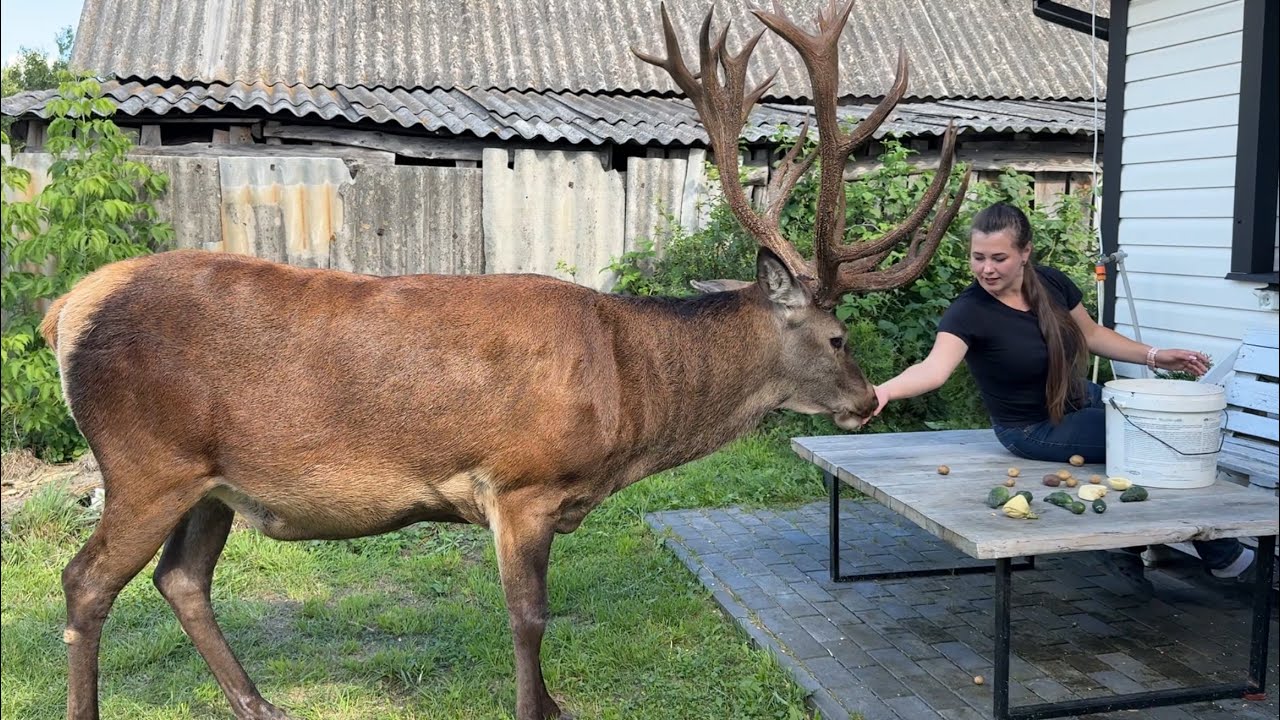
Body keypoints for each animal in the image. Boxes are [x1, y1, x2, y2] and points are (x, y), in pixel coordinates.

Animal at [41, 2, 968, 718]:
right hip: (146, 460)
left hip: (211, 481)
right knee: (86, 582)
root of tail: (65, 310)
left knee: (180, 581)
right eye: (838, 338)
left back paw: (261, 703)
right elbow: (529, 615)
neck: (628, 403)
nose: (868, 400)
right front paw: (538, 705)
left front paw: (554, 701)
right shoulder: (520, 482)